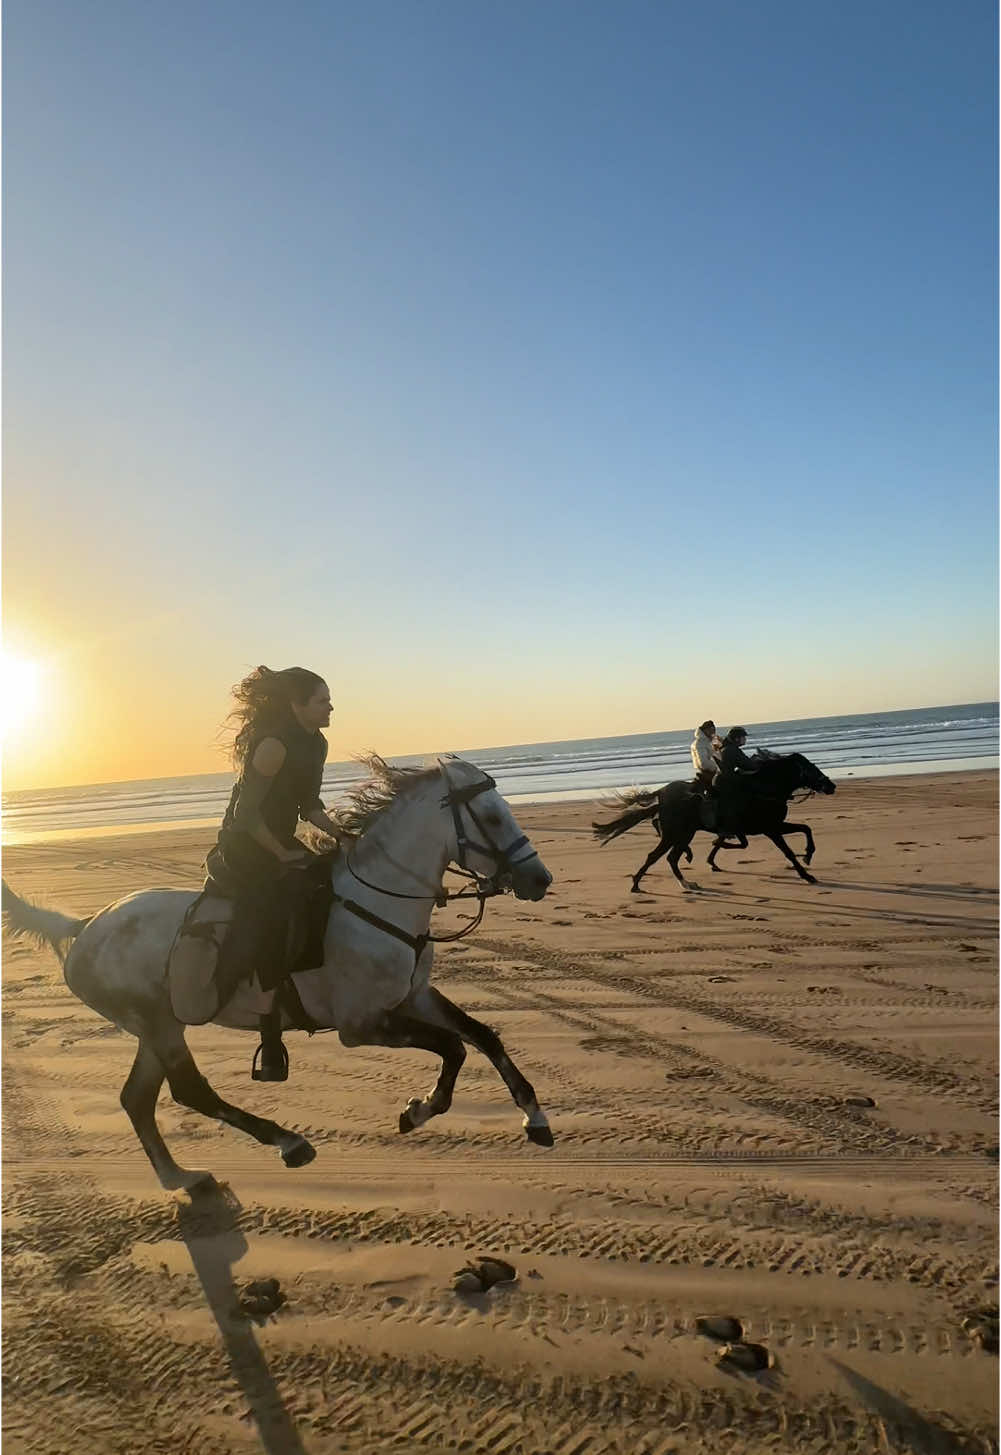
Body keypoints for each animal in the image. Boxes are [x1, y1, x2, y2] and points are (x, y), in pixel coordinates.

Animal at [593, 756, 838, 890]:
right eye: (811, 768)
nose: (831, 786)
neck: (764, 790)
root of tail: (661, 796)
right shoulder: (770, 829)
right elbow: (787, 851)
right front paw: (807, 874)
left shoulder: (773, 826)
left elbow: (806, 828)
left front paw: (808, 855)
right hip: (677, 834)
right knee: (657, 855)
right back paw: (639, 884)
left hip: (683, 834)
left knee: (670, 856)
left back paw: (684, 881)